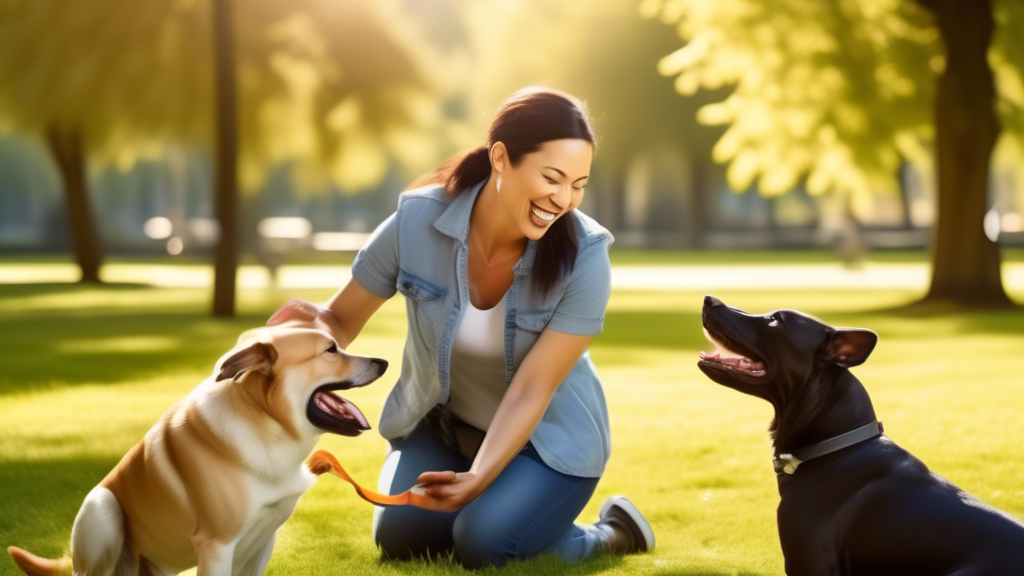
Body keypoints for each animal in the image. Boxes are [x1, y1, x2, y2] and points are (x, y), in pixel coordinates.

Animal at [7, 319, 387, 569]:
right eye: (330, 350)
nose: (383, 361)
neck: (267, 426)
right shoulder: (216, 547)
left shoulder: (264, 541)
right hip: (103, 508)